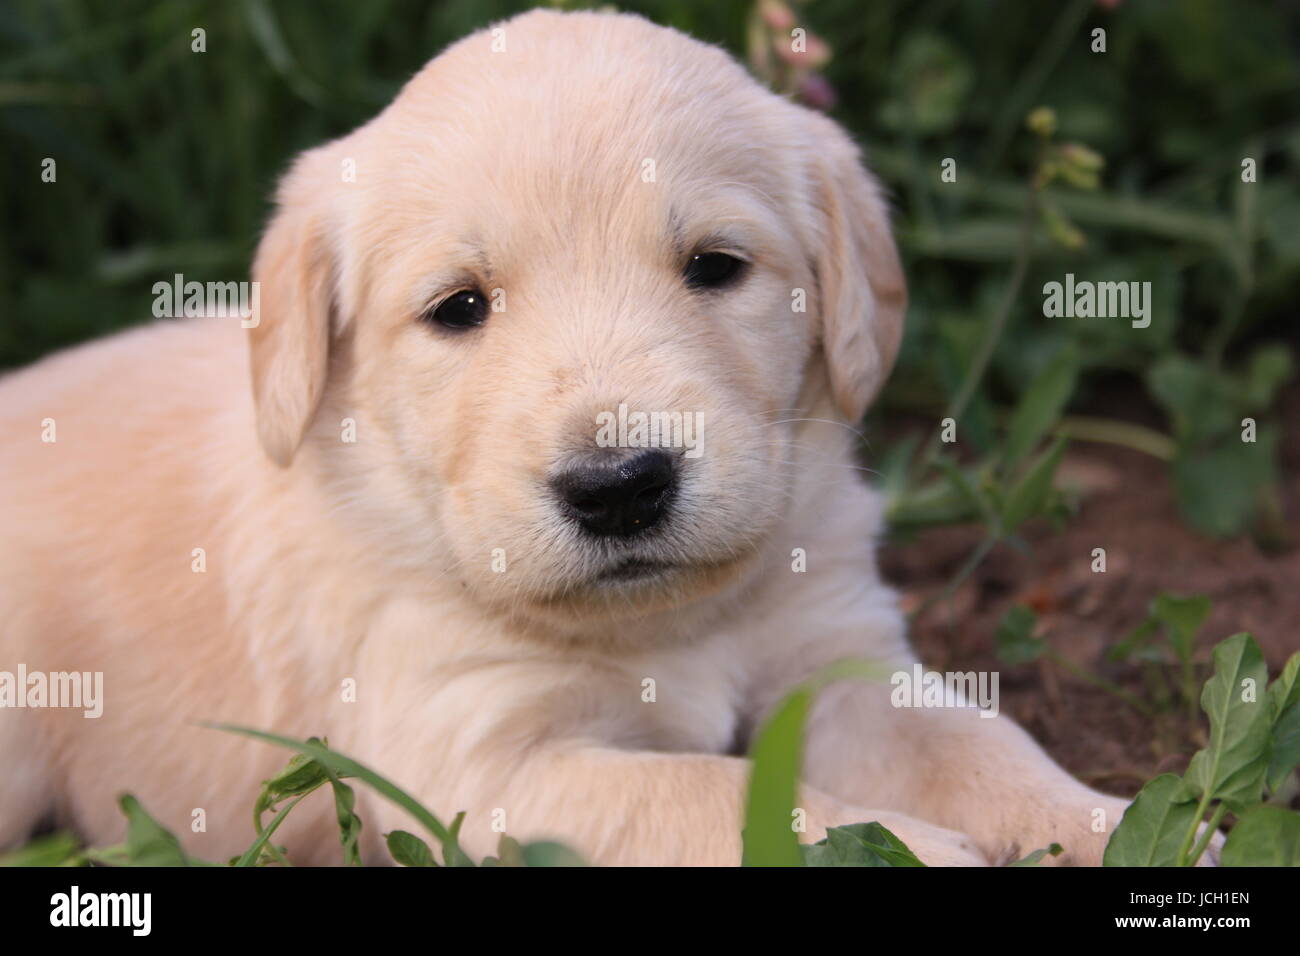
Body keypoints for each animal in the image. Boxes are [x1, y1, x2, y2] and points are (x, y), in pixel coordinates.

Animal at [0, 9, 1133, 868]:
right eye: (459, 307)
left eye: (715, 266)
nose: (620, 485)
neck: (658, 625)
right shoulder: (481, 765)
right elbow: (713, 795)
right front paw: (921, 852)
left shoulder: (836, 648)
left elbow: (973, 742)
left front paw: (1106, 822)